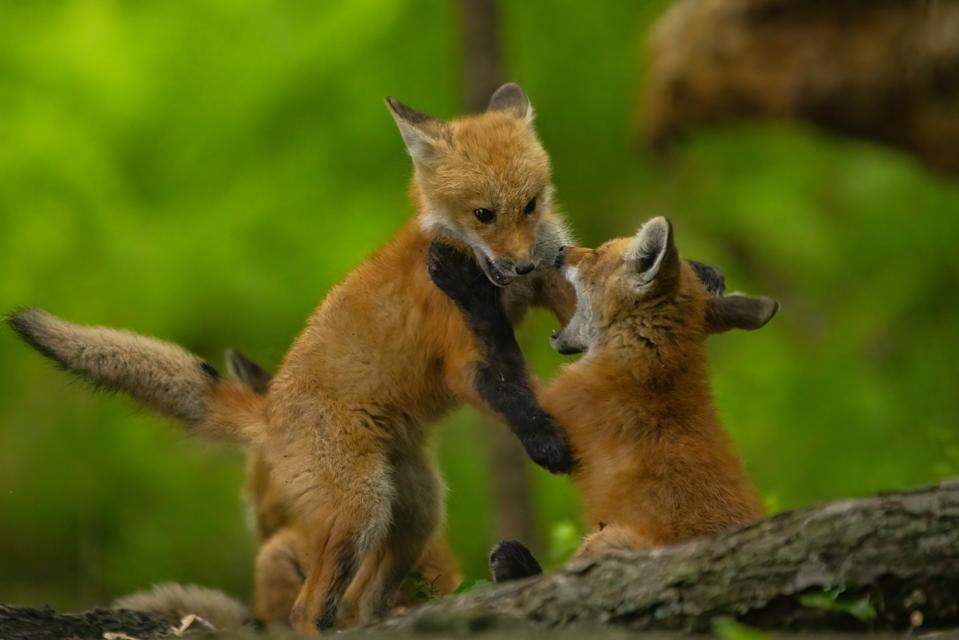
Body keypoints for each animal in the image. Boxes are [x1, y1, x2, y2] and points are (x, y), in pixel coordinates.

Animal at [8, 82, 579, 633]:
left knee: (366, 601)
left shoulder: (546, 286)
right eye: (483, 214)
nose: (523, 264)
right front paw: (547, 443)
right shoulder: (462, 354)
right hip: (360, 510)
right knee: (309, 609)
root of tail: (268, 409)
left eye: (530, 205)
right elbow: (512, 396)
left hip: (416, 512)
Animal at [426, 215, 779, 582]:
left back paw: (515, 566)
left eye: (595, 255)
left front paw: (465, 284)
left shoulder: (558, 413)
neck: (651, 370)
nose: (560, 251)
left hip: (605, 539)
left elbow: (498, 350)